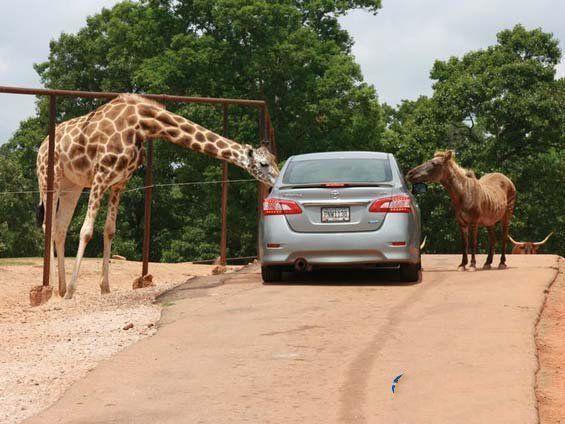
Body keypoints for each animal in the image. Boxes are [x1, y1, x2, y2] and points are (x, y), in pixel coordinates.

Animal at [36, 93, 278, 298]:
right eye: (263, 164)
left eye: (274, 160)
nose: (276, 180)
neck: (142, 123)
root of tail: (41, 146)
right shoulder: (100, 176)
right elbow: (87, 230)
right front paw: (73, 291)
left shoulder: (119, 183)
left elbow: (109, 230)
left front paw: (104, 287)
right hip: (49, 179)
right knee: (48, 226)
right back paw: (54, 289)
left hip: (72, 185)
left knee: (60, 228)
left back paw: (60, 287)